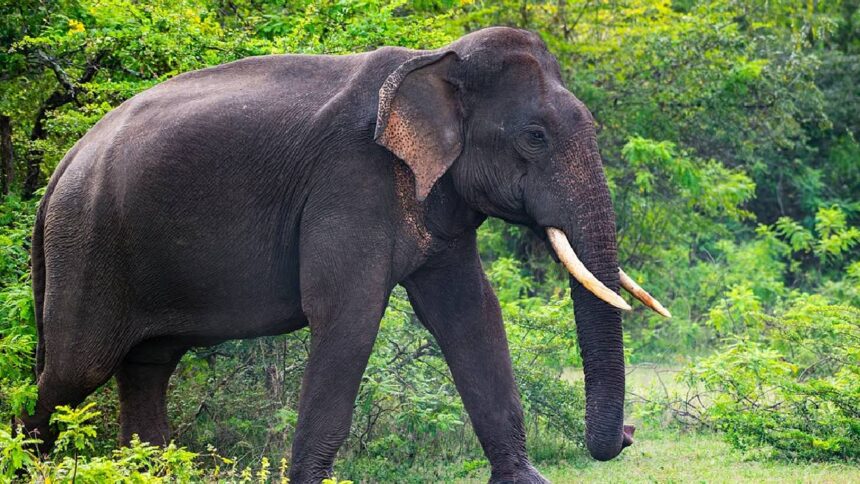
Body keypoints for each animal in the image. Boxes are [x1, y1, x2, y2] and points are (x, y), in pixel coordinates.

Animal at [20, 26, 669, 482]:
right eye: (534, 137)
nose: (632, 432)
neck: (433, 61)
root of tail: (60, 169)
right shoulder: (352, 180)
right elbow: (348, 316)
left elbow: (471, 314)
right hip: (88, 244)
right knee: (75, 371)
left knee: (147, 367)